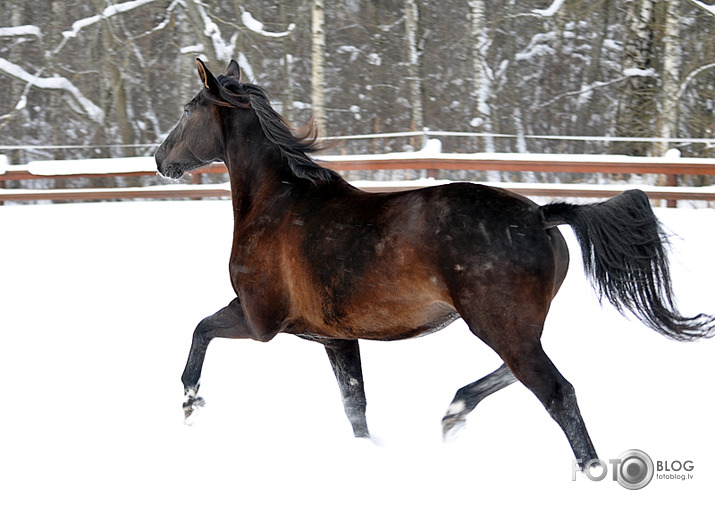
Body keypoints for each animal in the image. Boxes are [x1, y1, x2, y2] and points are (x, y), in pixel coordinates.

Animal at [155, 58, 715, 466]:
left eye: (187, 109)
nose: (161, 160)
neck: (278, 203)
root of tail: (540, 215)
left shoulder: (260, 320)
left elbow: (201, 330)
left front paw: (190, 404)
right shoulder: (335, 337)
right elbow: (355, 407)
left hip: (498, 325)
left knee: (558, 392)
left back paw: (590, 469)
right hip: (512, 327)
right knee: (516, 373)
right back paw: (454, 411)